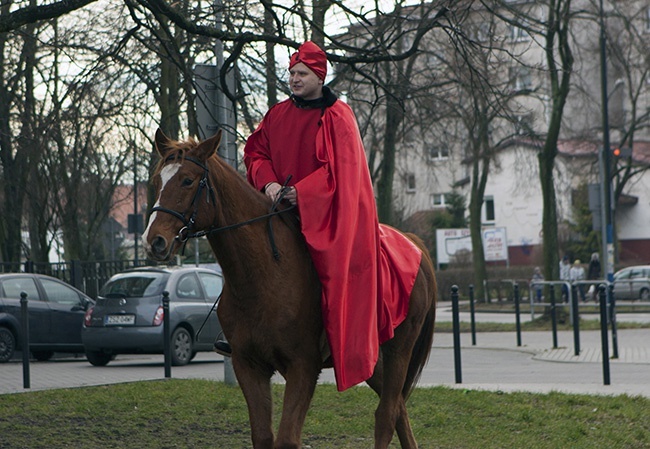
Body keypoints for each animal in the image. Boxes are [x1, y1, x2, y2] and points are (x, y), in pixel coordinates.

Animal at [142, 128, 436, 446]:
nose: (154, 241)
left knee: (387, 413)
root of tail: (413, 244)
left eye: (187, 180)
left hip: (399, 350)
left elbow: (286, 439)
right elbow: (263, 436)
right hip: (370, 358)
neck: (263, 277)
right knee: (399, 409)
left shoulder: (303, 367)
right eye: (157, 181)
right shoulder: (249, 366)